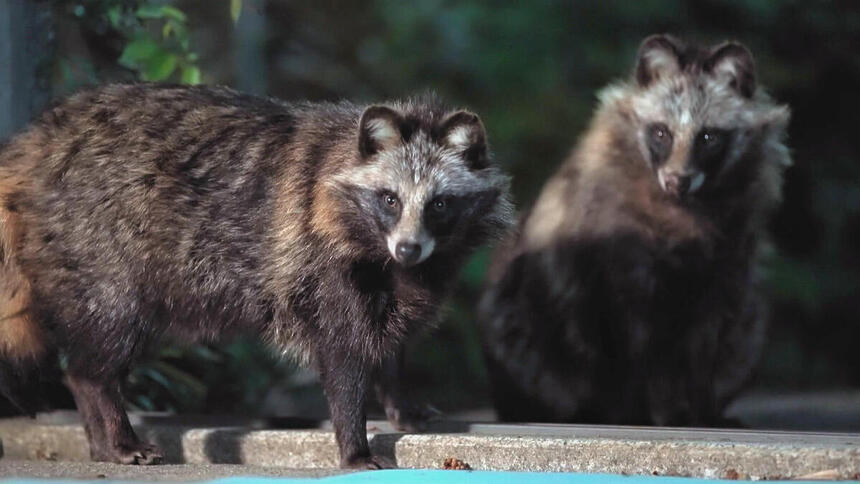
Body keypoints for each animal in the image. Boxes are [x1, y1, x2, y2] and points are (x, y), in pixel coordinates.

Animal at [0, 84, 510, 468]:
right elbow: (343, 352)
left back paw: (100, 439)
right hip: (97, 240)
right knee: (108, 334)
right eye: (390, 199)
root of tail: (34, 145)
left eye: (439, 203)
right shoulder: (316, 258)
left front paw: (400, 400)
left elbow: (391, 335)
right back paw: (112, 424)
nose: (408, 248)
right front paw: (354, 443)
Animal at [480, 35, 788, 428]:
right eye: (661, 133)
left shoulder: (729, 260)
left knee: (749, 325)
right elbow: (625, 346)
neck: (685, 206)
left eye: (708, 137)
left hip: (749, 322)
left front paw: (703, 411)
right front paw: (631, 414)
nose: (677, 181)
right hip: (516, 324)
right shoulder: (614, 254)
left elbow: (706, 341)